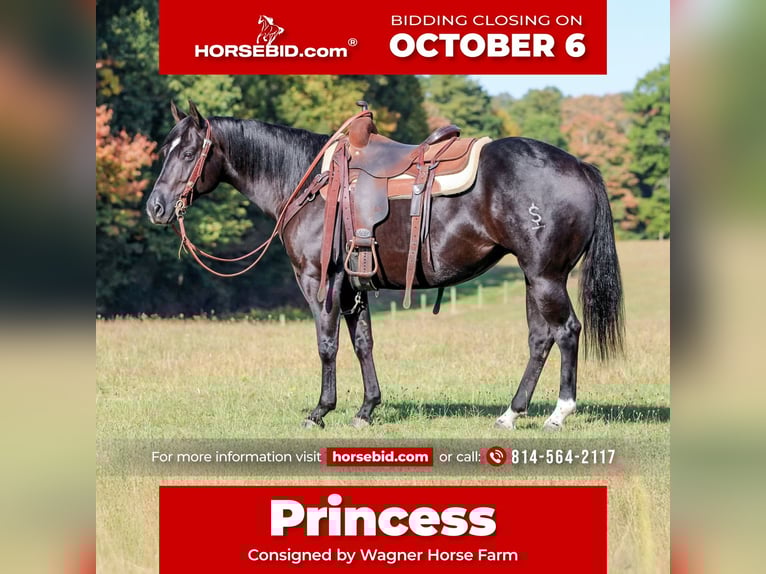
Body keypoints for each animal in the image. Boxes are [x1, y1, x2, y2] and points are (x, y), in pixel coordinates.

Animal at [146, 101, 624, 431]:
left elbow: (327, 345)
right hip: (533, 277)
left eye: (188, 153)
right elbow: (363, 344)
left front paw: (320, 412)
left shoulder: (319, 281)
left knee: (567, 332)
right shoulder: (353, 286)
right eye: (166, 149)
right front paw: (366, 409)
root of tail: (579, 166)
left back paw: (558, 413)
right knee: (540, 339)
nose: (156, 207)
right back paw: (511, 413)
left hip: (546, 277)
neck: (309, 181)